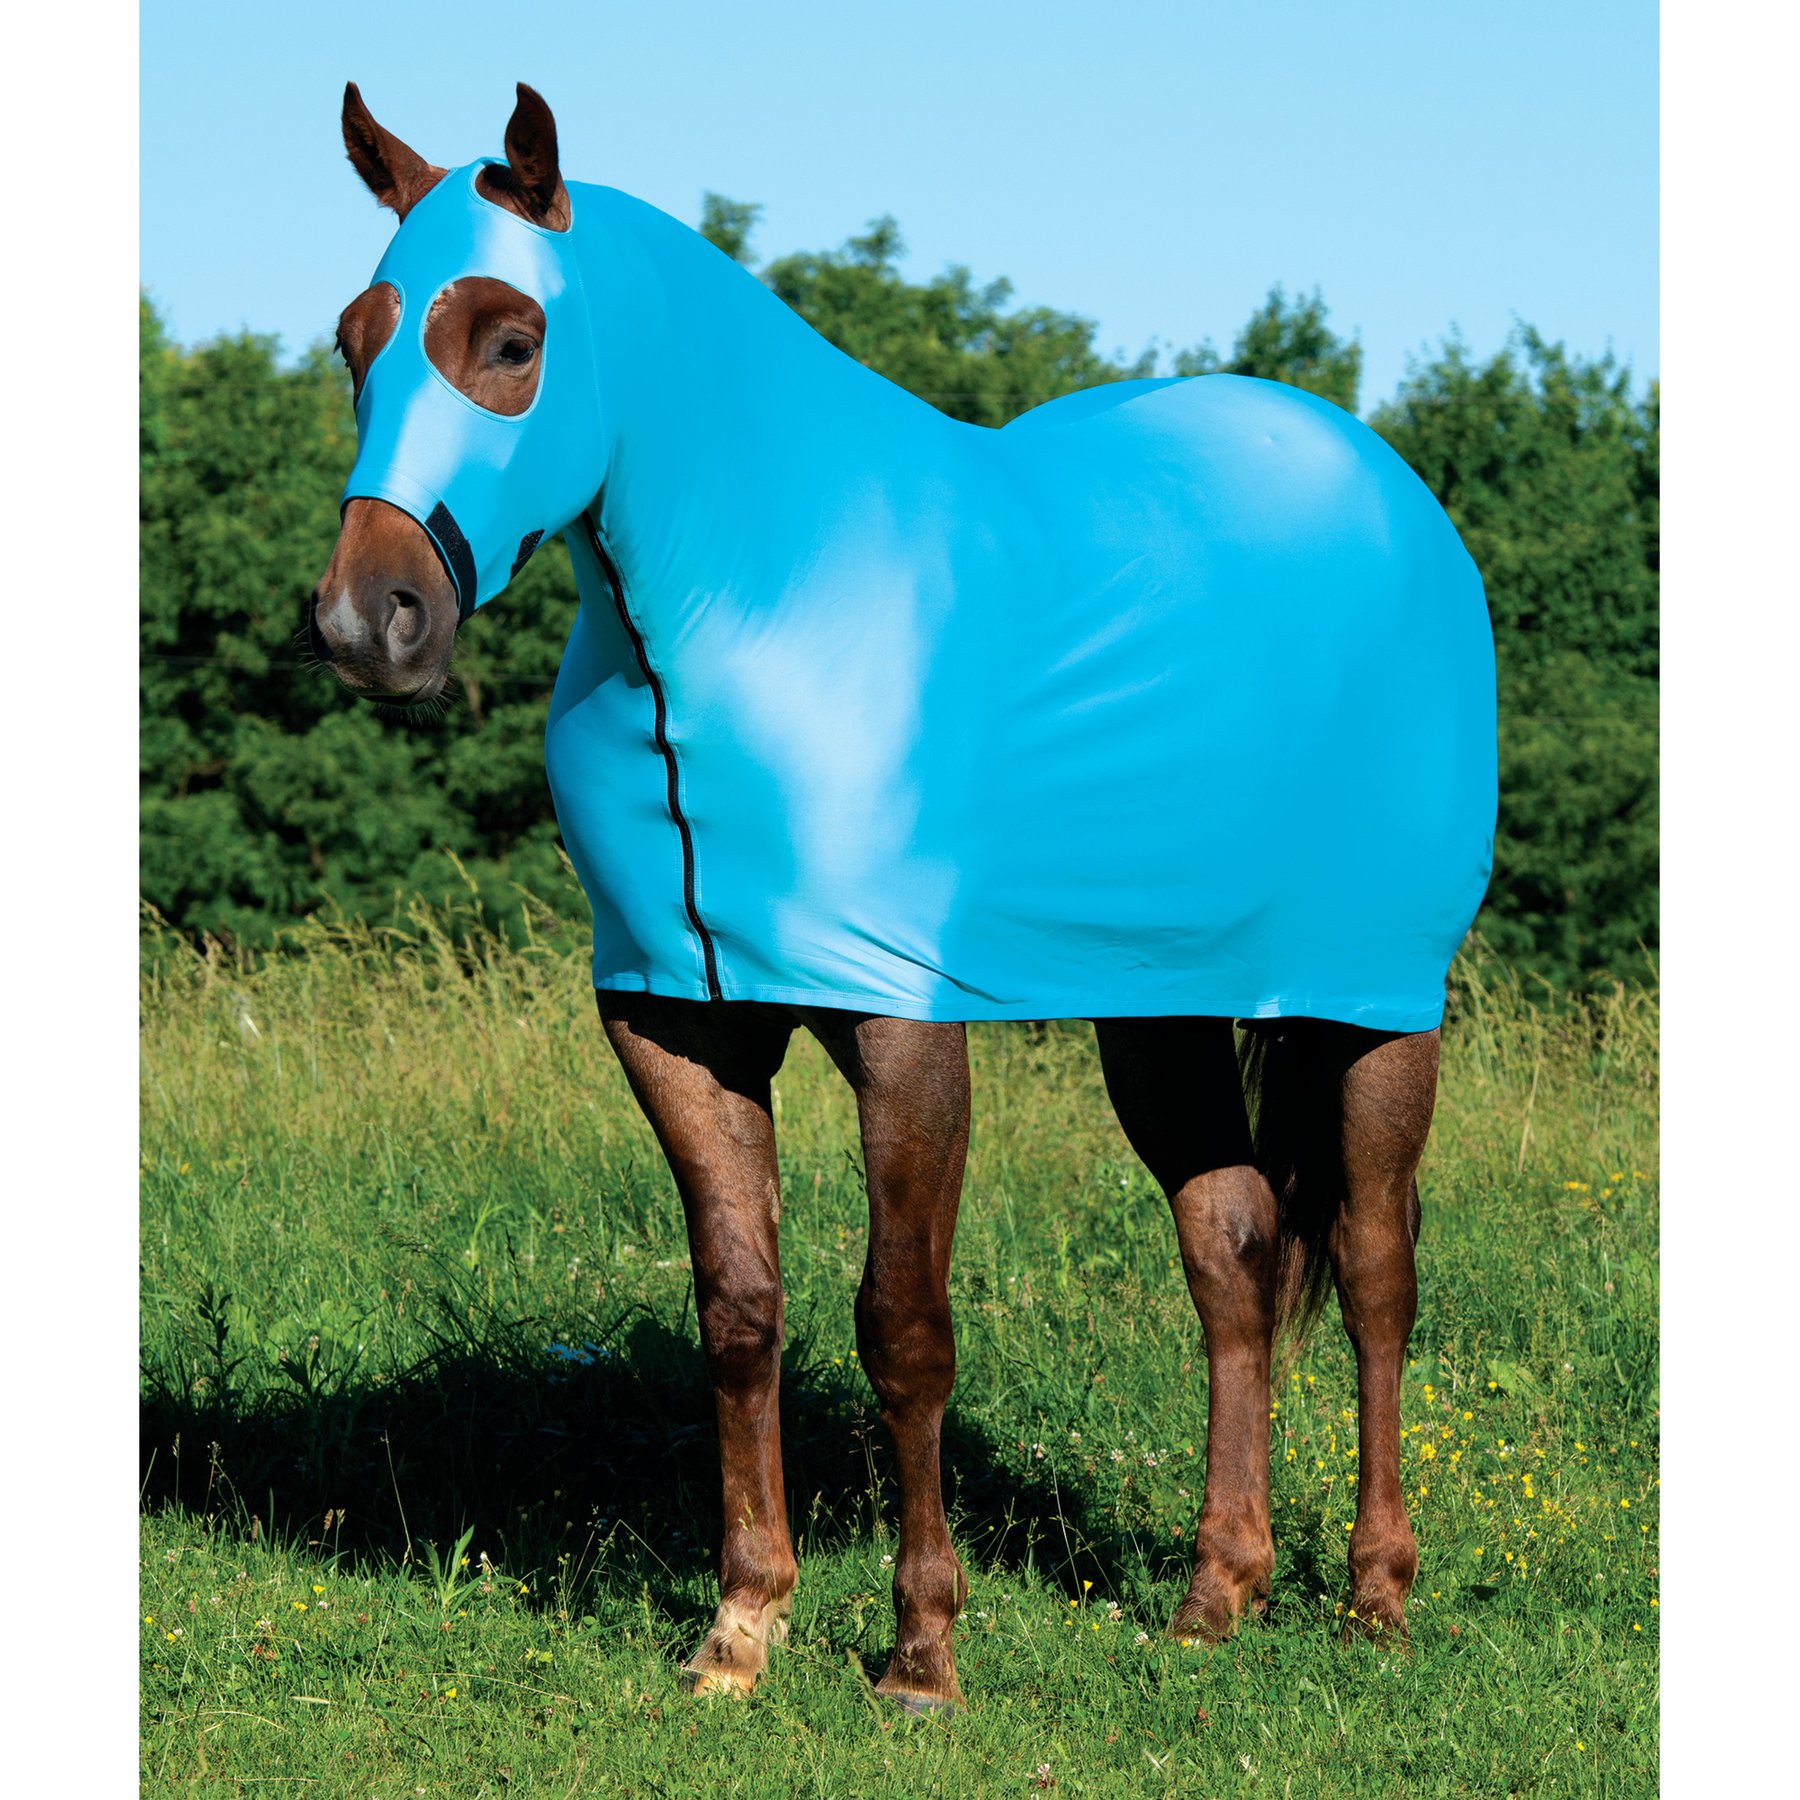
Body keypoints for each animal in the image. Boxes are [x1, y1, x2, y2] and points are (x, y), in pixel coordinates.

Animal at [308, 82, 1495, 1713]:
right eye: (354, 340)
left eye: (509, 337)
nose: (371, 622)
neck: (765, 601)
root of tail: (1387, 491)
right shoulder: (678, 1024)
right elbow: (741, 1311)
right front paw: (741, 1630)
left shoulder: (900, 1029)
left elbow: (903, 1326)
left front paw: (921, 1652)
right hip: (1162, 1013)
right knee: (1233, 1249)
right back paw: (1214, 1598)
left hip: (1373, 1008)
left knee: (1377, 1271)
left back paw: (1376, 1600)